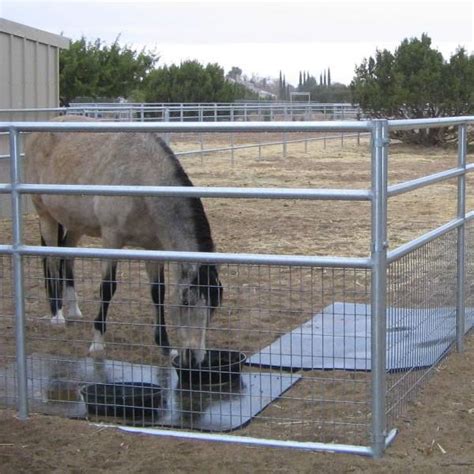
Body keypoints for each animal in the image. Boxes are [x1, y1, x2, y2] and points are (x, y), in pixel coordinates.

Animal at [23, 115, 220, 366]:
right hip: (46, 215)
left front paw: (165, 346)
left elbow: (158, 292)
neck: (141, 180)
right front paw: (97, 342)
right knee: (51, 260)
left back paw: (74, 310)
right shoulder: (112, 239)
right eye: (186, 302)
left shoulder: (153, 246)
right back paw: (57, 315)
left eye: (213, 306)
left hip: (76, 222)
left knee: (68, 256)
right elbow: (108, 288)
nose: (196, 359)